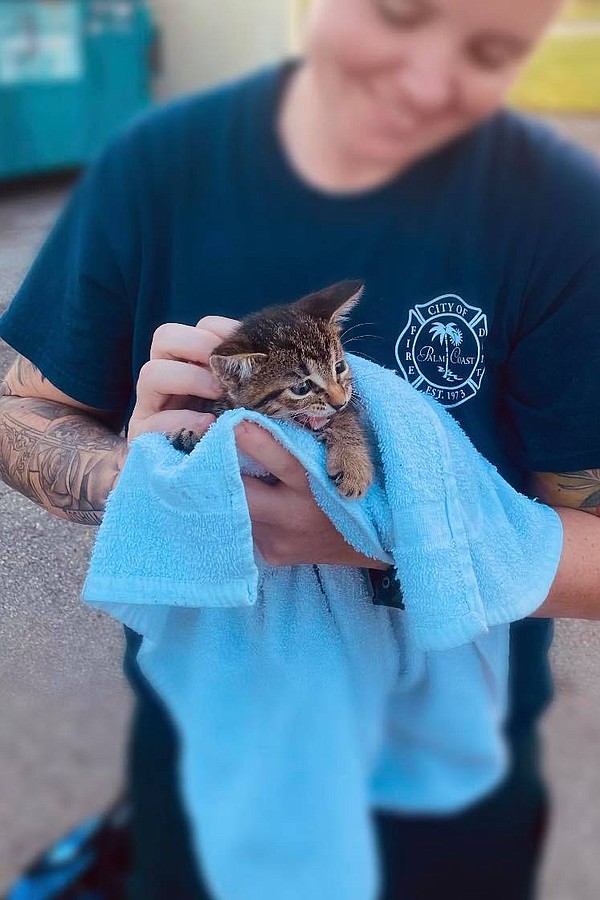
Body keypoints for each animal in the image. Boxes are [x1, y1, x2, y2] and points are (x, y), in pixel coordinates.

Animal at [169, 282, 372, 500]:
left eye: (339, 367)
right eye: (301, 388)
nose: (339, 402)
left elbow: (346, 418)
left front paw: (353, 465)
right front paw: (193, 434)